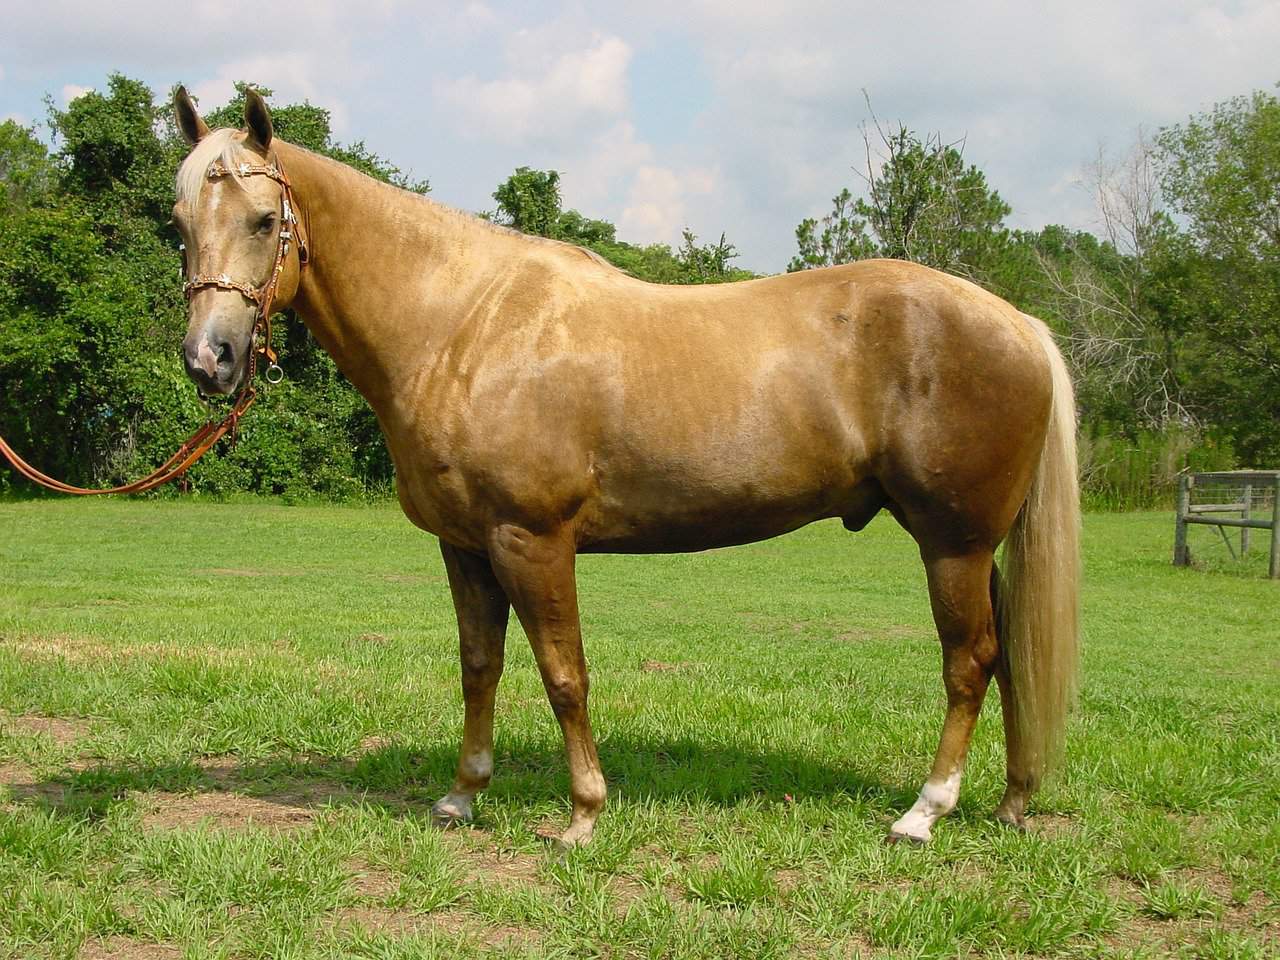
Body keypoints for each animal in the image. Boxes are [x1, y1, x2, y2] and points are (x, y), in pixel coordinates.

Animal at [171, 87, 1079, 848]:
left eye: (264, 220)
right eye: (179, 221)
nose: (210, 359)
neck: (462, 325)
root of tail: (1021, 325)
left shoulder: (532, 541)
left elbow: (563, 674)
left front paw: (582, 814)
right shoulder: (465, 547)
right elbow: (479, 667)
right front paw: (463, 795)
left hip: (952, 544)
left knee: (969, 663)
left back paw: (924, 813)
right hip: (976, 549)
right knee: (1005, 661)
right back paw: (1010, 801)